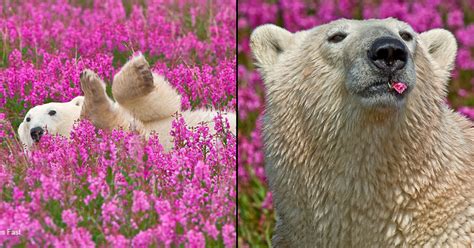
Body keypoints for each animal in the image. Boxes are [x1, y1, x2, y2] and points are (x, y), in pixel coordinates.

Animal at [19, 55, 236, 150]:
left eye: (52, 111)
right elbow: (128, 131)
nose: (36, 131)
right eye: (28, 119)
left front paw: (140, 71)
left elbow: (160, 105)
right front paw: (92, 90)